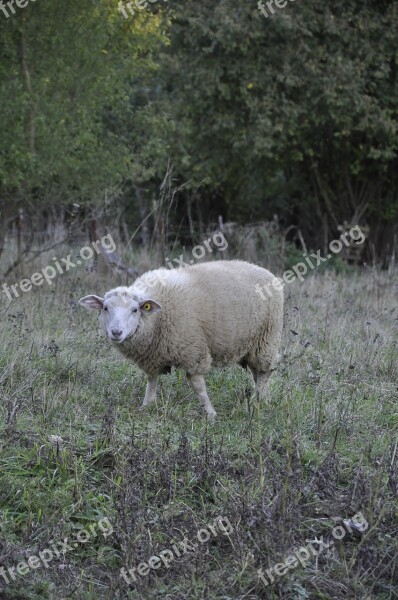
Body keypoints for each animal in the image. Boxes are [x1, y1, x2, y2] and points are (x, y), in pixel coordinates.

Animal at [78, 258, 282, 422]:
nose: (116, 332)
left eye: (135, 310)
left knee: (264, 373)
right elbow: (152, 381)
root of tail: (266, 271)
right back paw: (263, 399)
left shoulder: (194, 352)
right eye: (105, 308)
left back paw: (259, 402)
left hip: (267, 339)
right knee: (257, 374)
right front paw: (146, 405)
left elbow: (198, 385)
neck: (158, 317)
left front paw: (210, 413)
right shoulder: (152, 356)